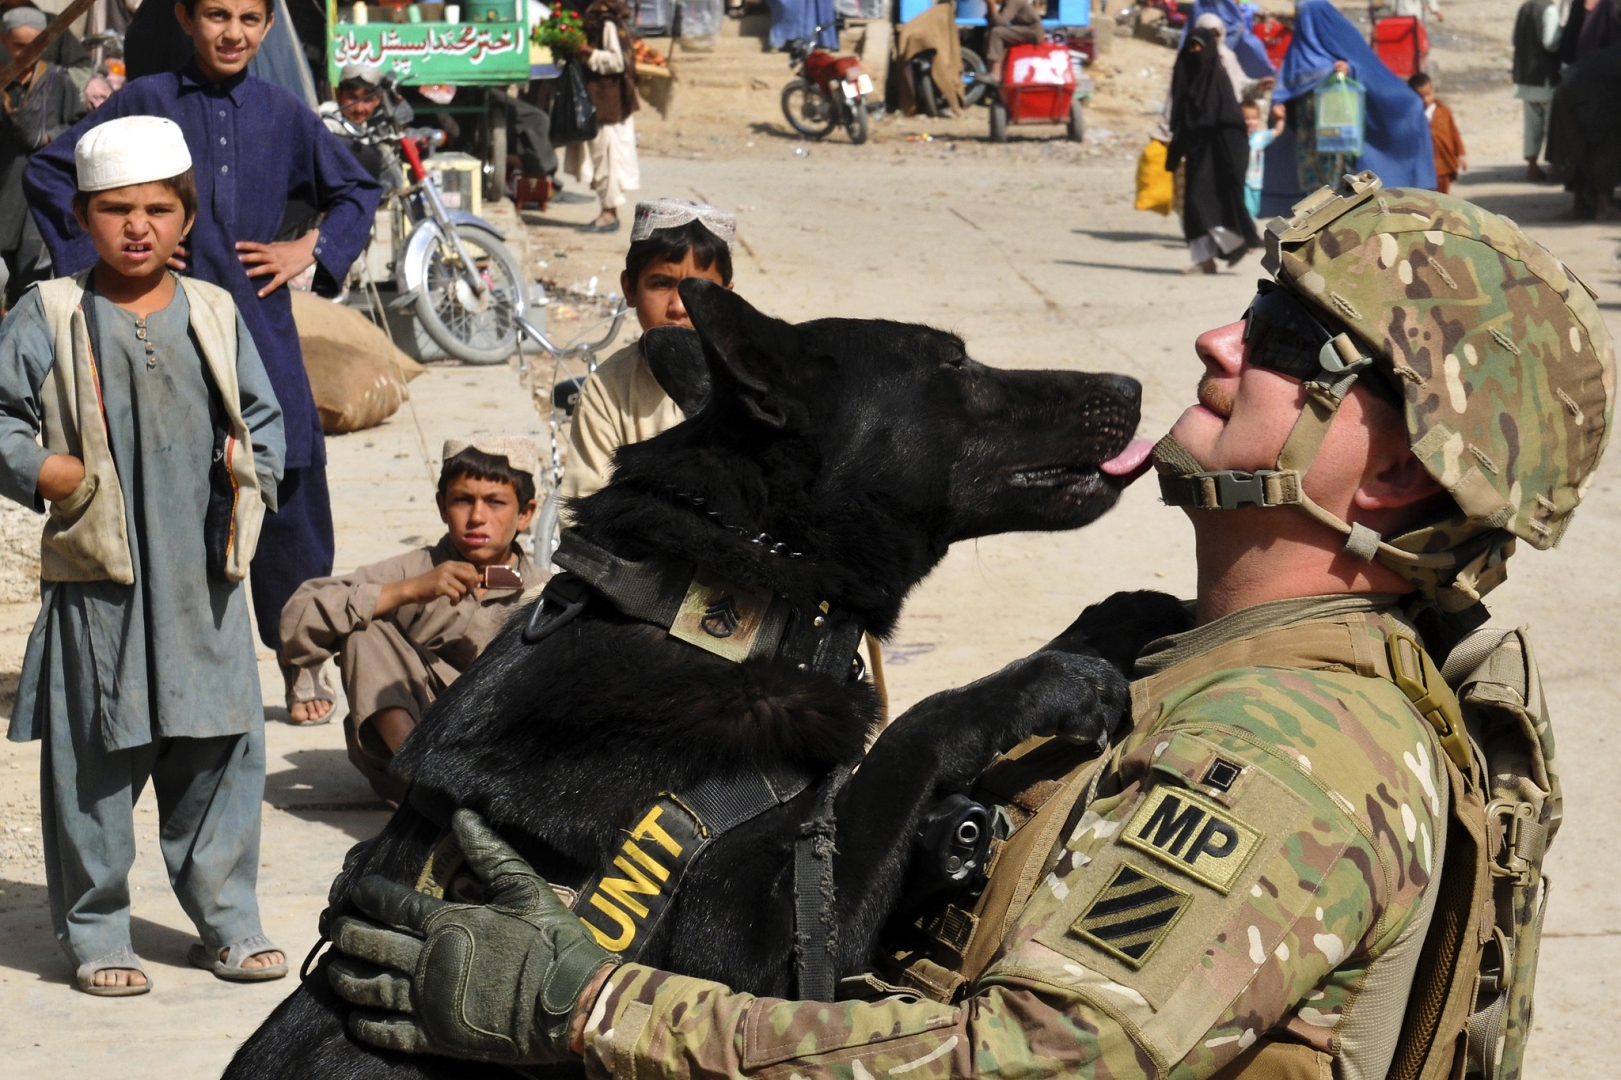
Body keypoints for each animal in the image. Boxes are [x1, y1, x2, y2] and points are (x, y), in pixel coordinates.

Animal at [225, 282, 1180, 1070]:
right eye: (951, 363)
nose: (1133, 389)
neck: (732, 608)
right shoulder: (764, 958)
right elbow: (915, 729)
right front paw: (1048, 681)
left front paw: (1129, 615)